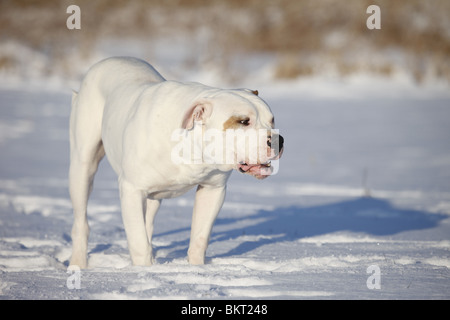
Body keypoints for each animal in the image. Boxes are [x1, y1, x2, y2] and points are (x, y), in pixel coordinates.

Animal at [68, 57, 284, 268]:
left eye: (272, 120)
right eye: (243, 121)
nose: (278, 140)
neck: (192, 147)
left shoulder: (213, 190)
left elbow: (199, 239)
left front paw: (197, 270)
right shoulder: (131, 190)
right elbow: (138, 242)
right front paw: (142, 272)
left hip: (153, 197)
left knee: (147, 223)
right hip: (83, 166)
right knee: (81, 222)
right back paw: (78, 264)